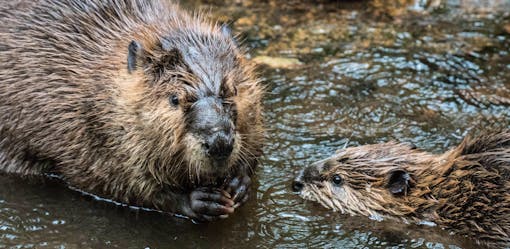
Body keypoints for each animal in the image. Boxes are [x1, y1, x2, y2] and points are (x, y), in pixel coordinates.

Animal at [0, 0, 262, 222]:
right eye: (174, 99)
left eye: (233, 89)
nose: (219, 142)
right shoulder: (93, 134)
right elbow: (120, 182)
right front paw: (202, 200)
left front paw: (239, 183)